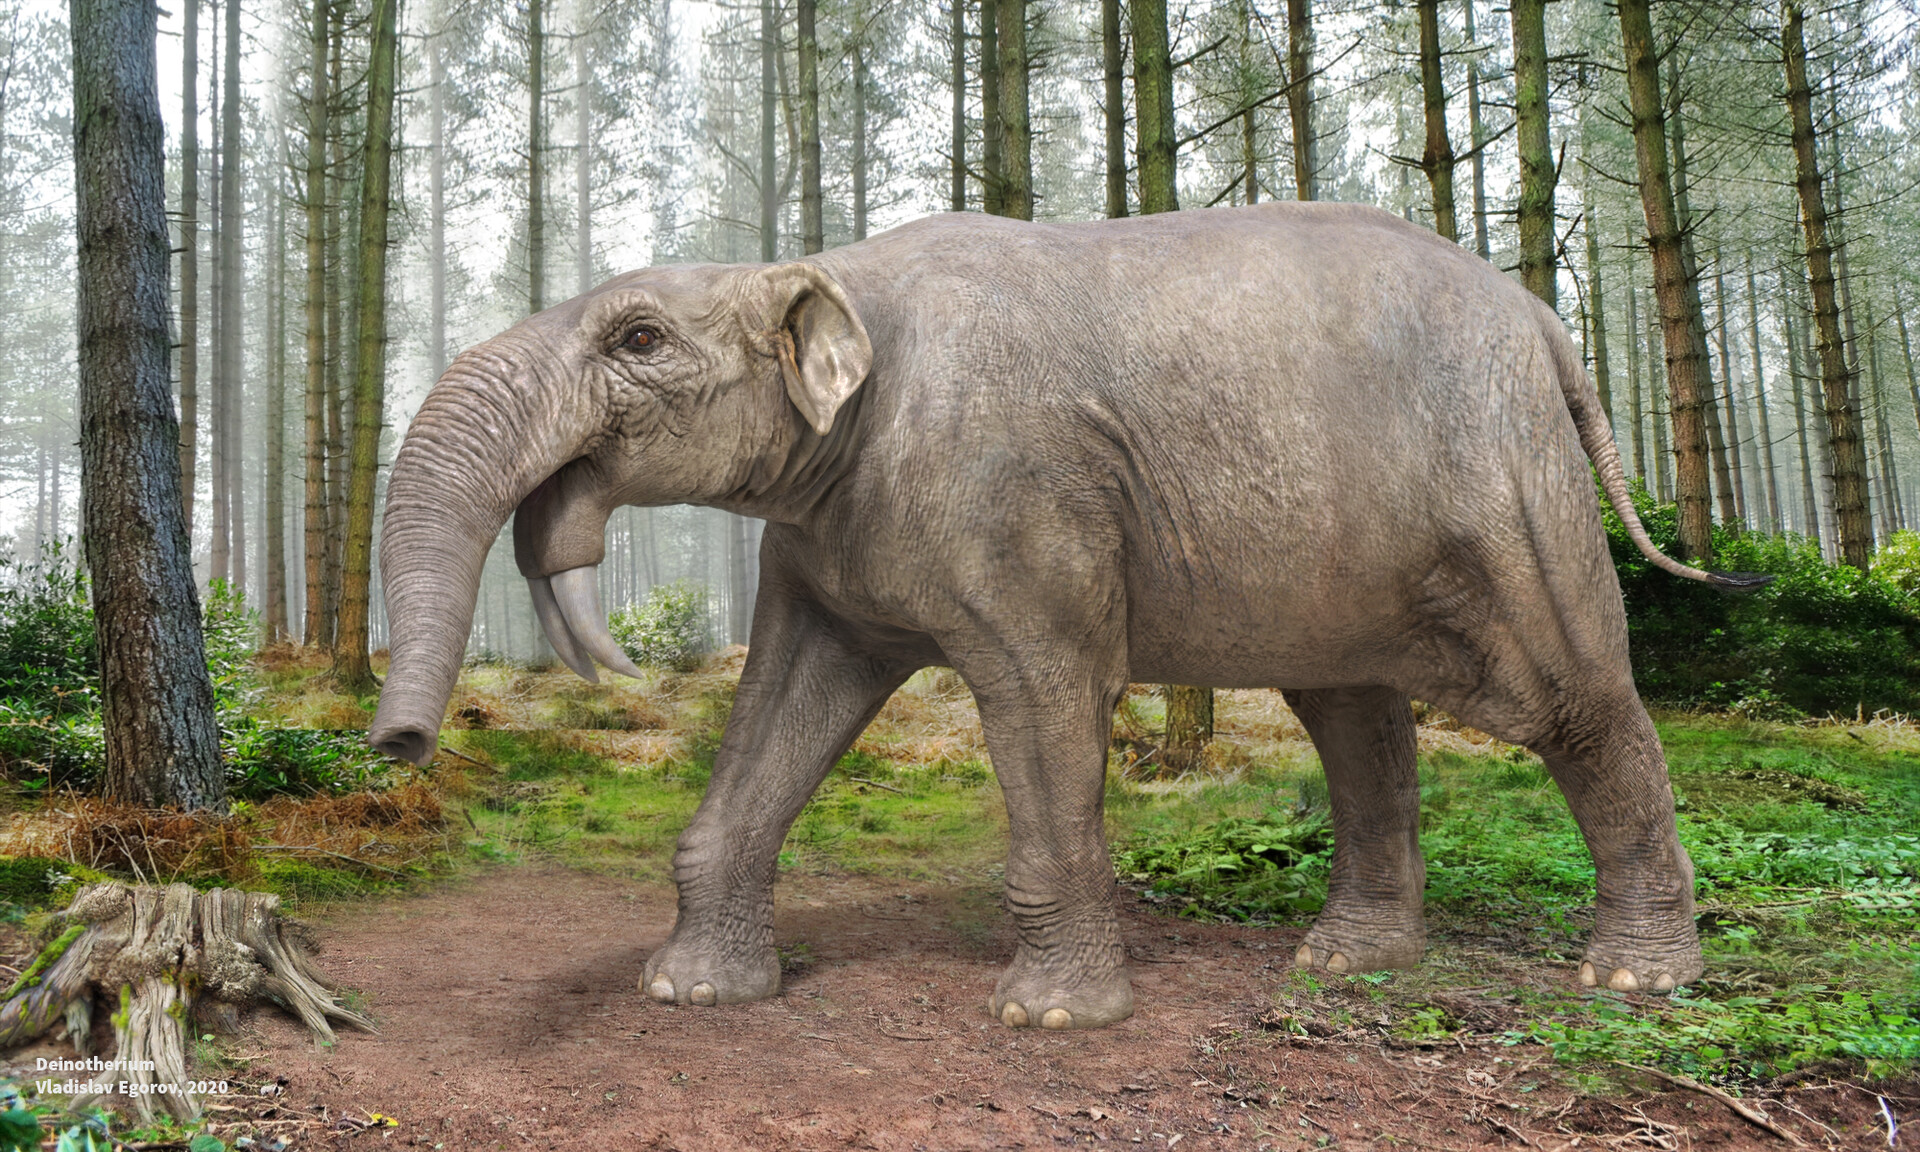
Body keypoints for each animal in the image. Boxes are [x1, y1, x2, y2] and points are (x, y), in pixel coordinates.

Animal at [366, 202, 1751, 1029]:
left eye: (640, 339)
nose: (400, 746)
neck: (817, 266)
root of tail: (1548, 326)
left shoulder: (1021, 500)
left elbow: (1044, 694)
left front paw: (1046, 1018)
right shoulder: (833, 536)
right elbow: (792, 697)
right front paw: (695, 996)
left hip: (1507, 488)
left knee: (1575, 698)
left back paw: (1635, 976)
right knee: (1352, 710)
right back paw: (1346, 964)